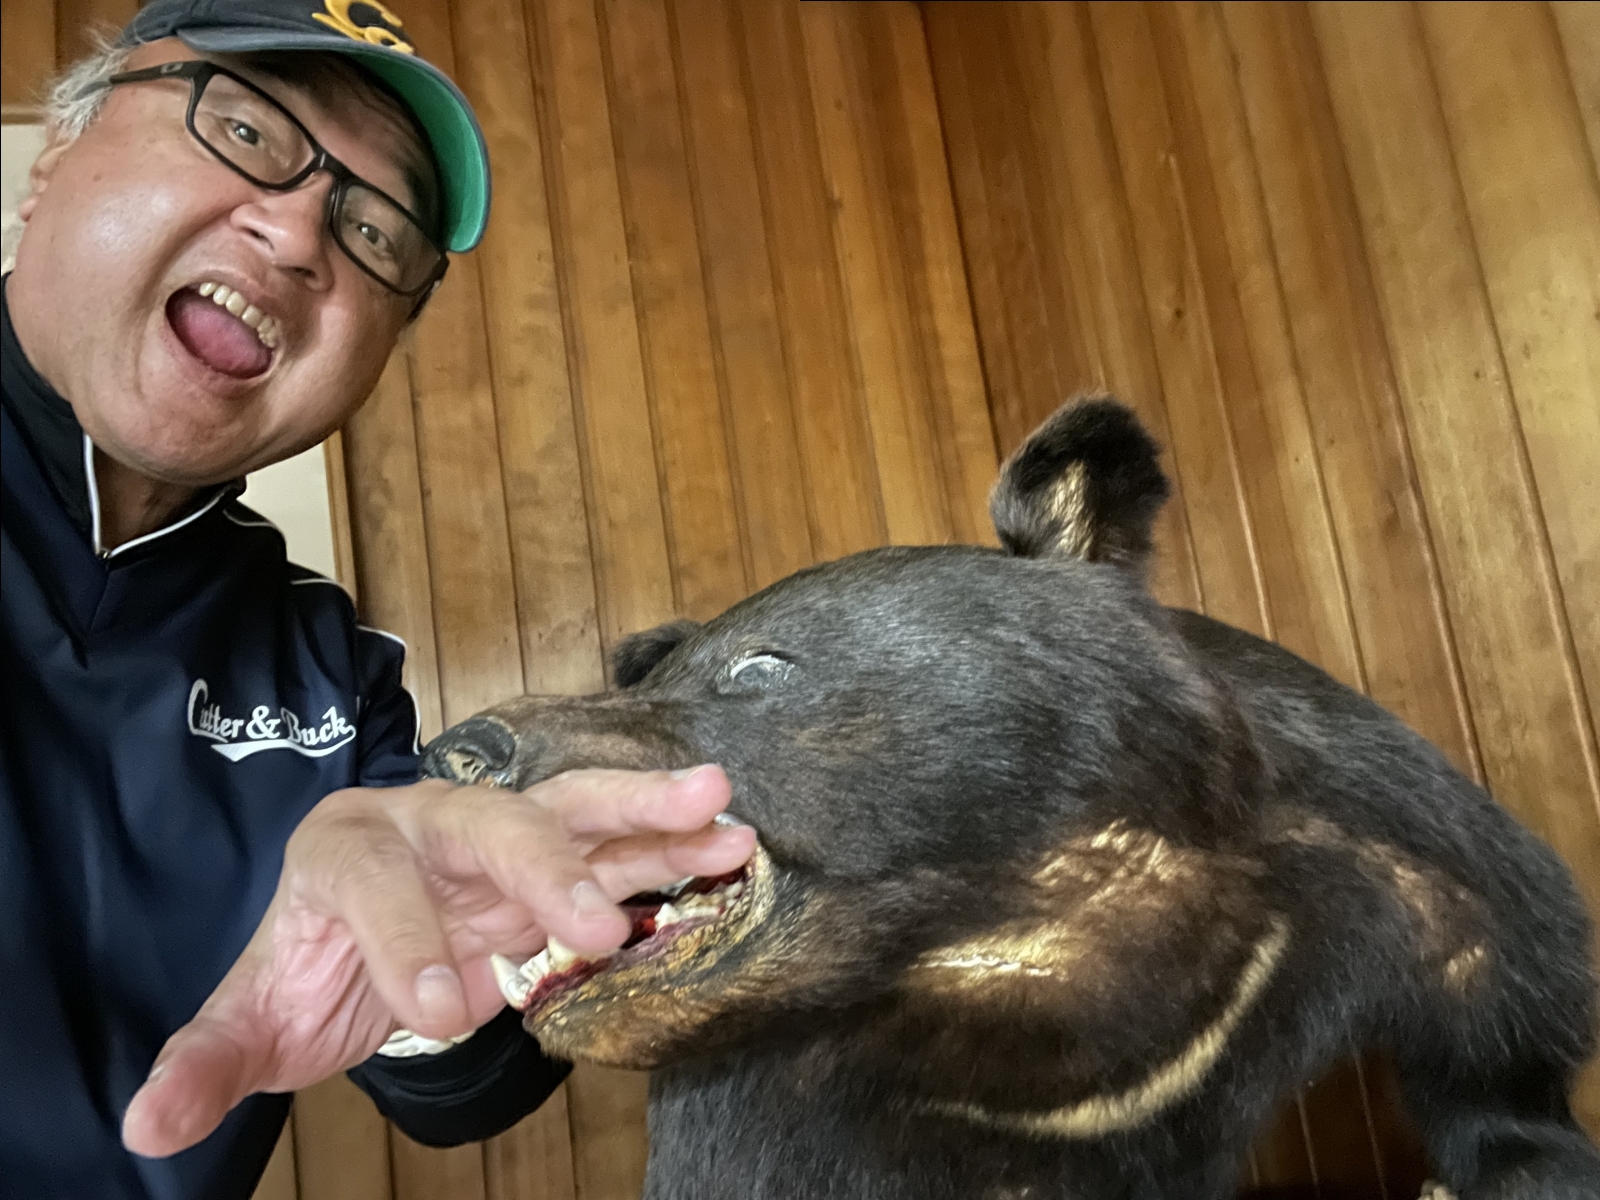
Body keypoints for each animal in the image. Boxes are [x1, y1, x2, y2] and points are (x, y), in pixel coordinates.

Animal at [422, 397, 1600, 1200]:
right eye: (653, 679)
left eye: (756, 667)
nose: (462, 750)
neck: (1025, 916)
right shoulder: (785, 1105)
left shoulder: (1428, 886)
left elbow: (1504, 1086)